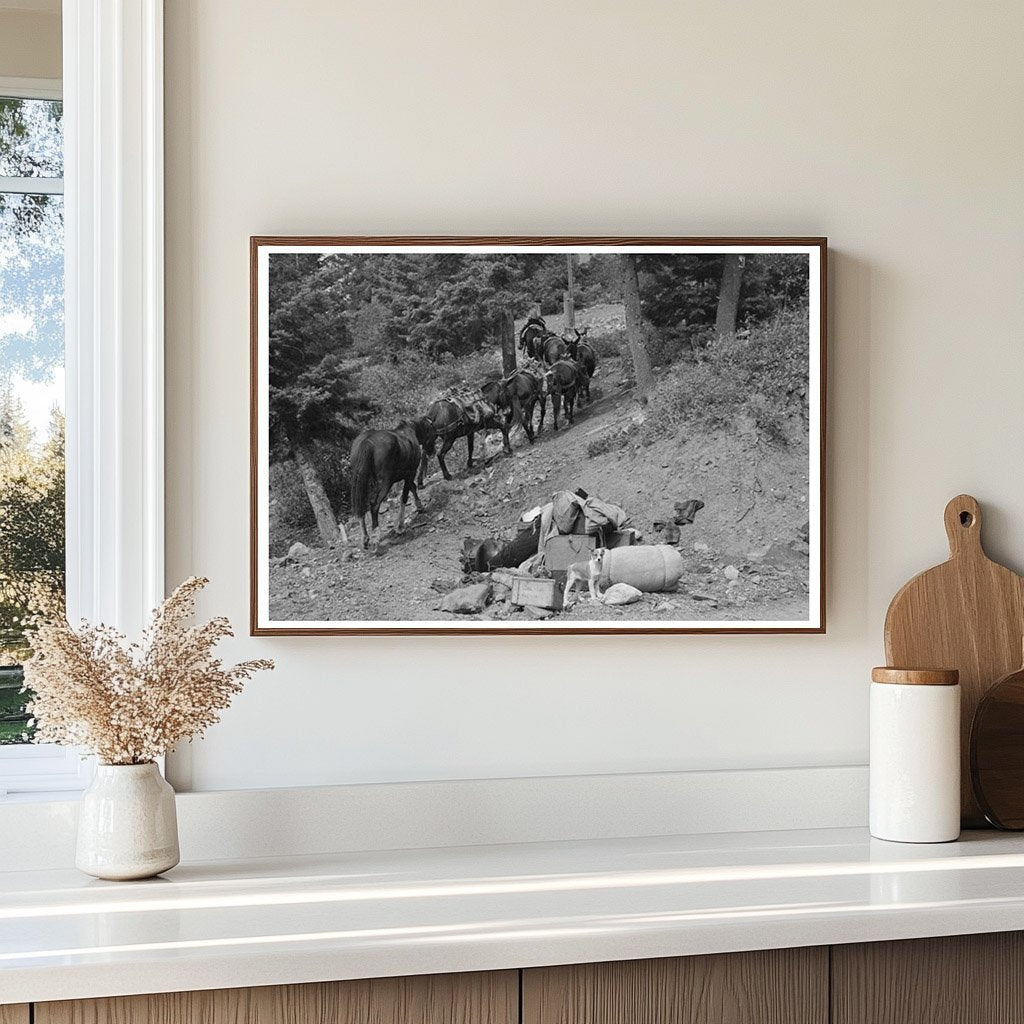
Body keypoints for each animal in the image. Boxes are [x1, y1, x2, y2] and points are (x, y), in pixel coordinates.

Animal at [352, 417, 436, 552]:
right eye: (433, 432)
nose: (432, 451)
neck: (409, 432)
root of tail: (367, 441)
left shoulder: (408, 475)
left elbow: (412, 488)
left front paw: (419, 506)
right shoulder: (410, 473)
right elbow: (404, 497)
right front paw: (400, 526)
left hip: (362, 482)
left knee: (361, 507)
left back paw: (365, 538)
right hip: (386, 483)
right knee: (374, 505)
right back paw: (375, 538)